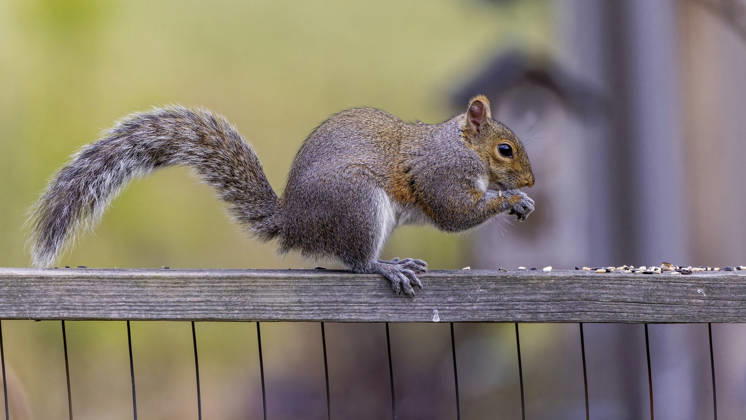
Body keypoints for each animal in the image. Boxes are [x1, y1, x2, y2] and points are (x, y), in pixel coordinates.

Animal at [29, 95, 535, 296]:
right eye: (505, 149)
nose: (530, 182)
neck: (460, 147)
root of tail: (294, 223)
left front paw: (523, 203)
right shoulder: (439, 175)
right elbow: (454, 214)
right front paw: (509, 200)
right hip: (359, 205)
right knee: (357, 262)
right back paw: (387, 267)